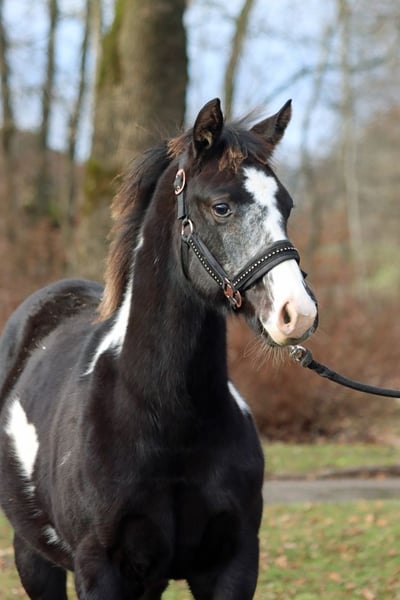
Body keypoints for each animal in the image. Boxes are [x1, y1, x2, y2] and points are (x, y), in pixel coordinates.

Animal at [0, 98, 317, 599]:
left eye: (285, 205)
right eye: (221, 207)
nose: (297, 313)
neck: (167, 417)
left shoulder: (233, 565)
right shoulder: (100, 571)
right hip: (33, 557)